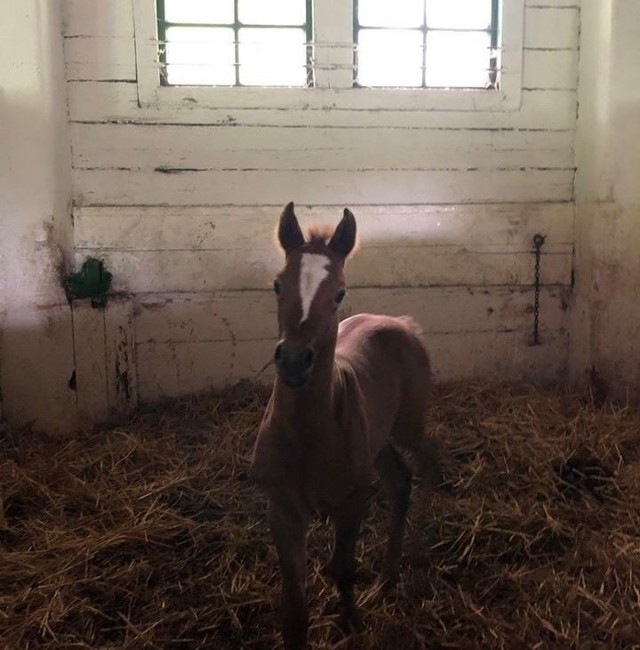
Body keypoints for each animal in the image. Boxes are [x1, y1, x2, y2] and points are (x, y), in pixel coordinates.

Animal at [250, 202, 440, 648]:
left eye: (339, 293)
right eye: (277, 284)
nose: (294, 361)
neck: (305, 434)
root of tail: (402, 323)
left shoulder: (352, 501)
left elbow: (341, 568)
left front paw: (351, 622)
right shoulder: (282, 509)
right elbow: (294, 607)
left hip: (407, 423)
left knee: (429, 459)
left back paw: (415, 553)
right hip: (379, 439)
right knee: (400, 481)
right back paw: (386, 579)